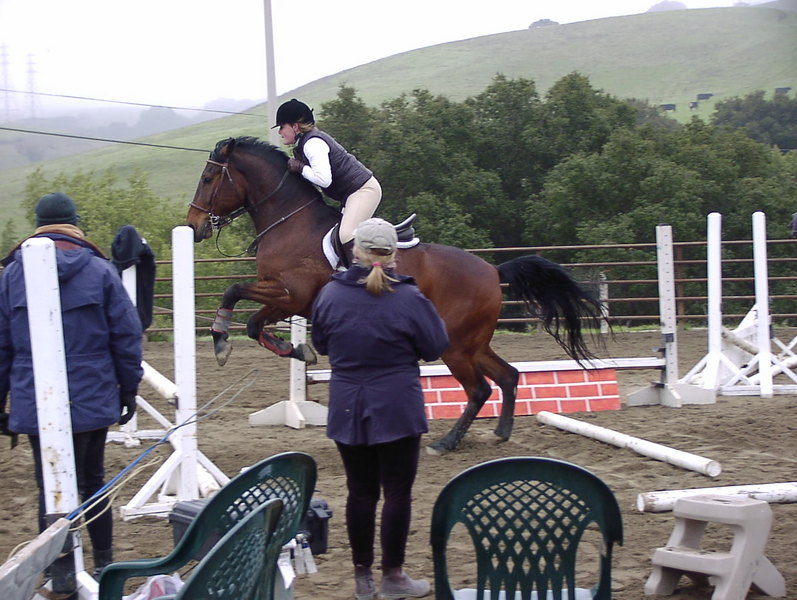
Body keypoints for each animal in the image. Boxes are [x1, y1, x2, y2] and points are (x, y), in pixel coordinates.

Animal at [186, 136, 603, 454]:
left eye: (208, 178)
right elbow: (255, 325)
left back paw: (446, 443)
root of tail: (492, 270)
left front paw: (221, 342)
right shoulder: (286, 299)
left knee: (479, 389)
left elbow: (234, 290)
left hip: (454, 345)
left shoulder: (290, 292)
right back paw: (500, 433)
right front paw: (298, 350)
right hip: (473, 342)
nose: (193, 227)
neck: (290, 221)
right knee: (508, 376)